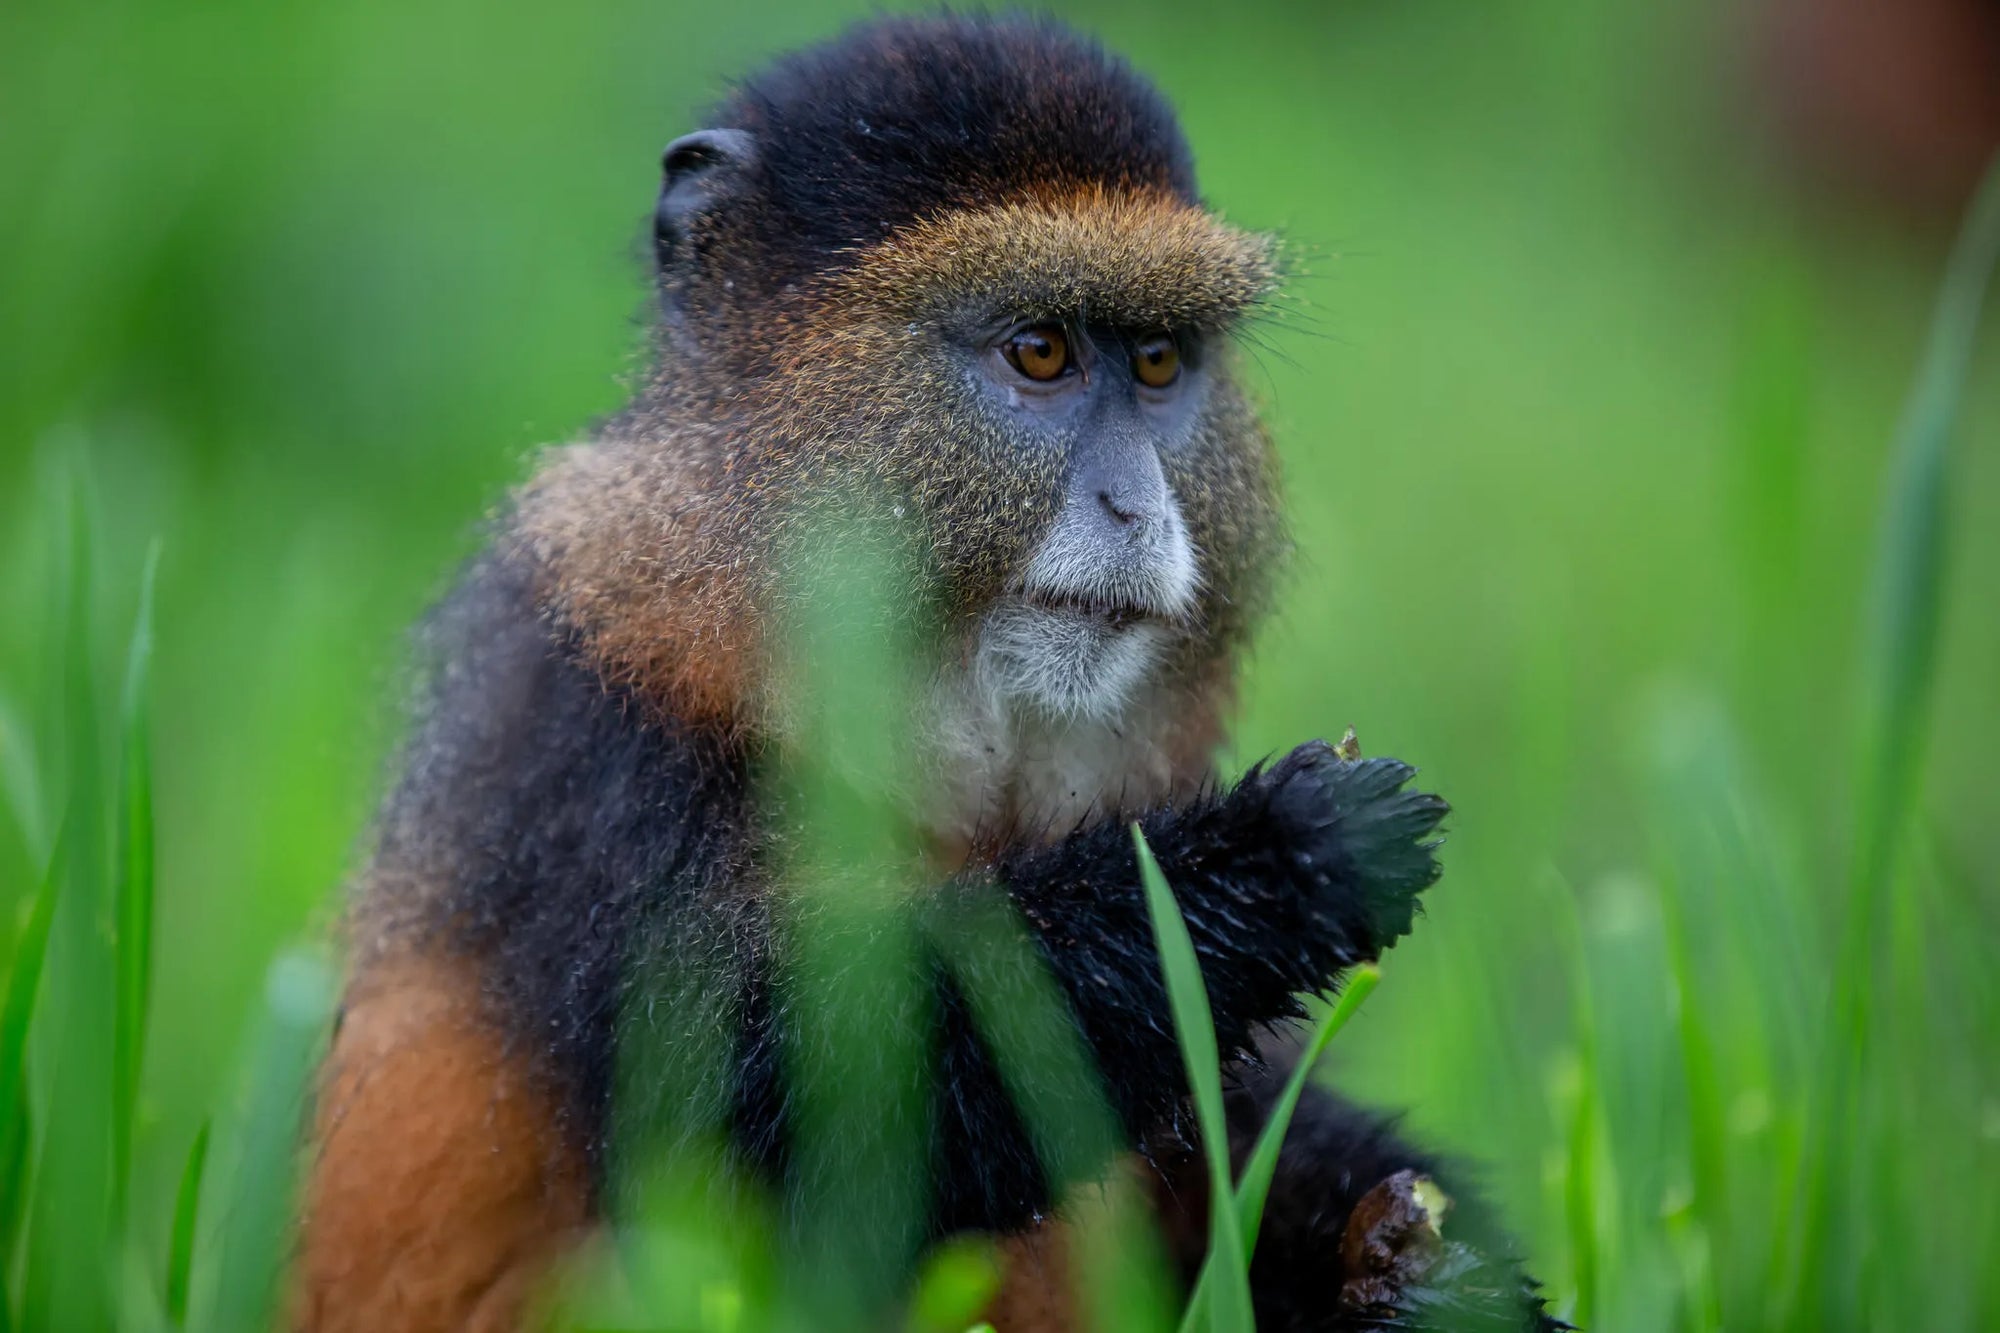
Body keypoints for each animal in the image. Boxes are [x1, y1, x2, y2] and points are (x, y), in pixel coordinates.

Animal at [298, 15, 1560, 1333]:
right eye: (1039, 350)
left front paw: (1428, 1274)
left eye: (1158, 362)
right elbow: (795, 1131)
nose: (1135, 506)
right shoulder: (592, 747)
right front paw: (1274, 859)